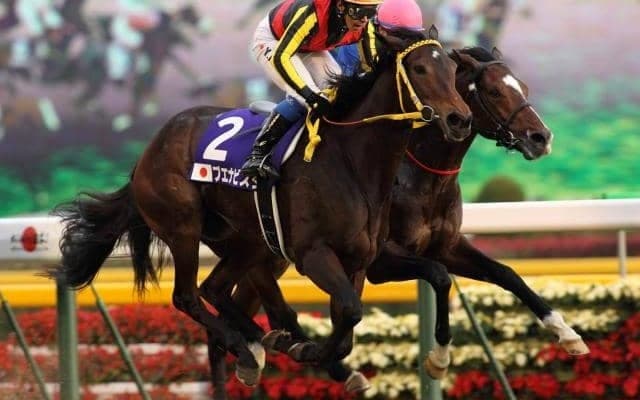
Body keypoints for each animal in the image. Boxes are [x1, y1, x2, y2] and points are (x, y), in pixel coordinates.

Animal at [47, 26, 472, 390]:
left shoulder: (360, 261)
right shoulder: (314, 255)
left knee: (218, 289)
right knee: (188, 295)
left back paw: (262, 342)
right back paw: (248, 349)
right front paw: (311, 350)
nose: (460, 118)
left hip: (246, 241)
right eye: (419, 68)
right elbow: (350, 313)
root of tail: (149, 151)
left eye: (453, 70)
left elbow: (355, 321)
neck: (352, 161)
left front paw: (321, 353)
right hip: (183, 227)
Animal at [205, 45, 588, 398]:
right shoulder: (382, 261)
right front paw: (439, 359)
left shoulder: (446, 246)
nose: (541, 138)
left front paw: (567, 333)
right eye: (494, 91)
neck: (418, 175)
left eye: (522, 86)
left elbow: (505, 274)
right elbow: (439, 276)